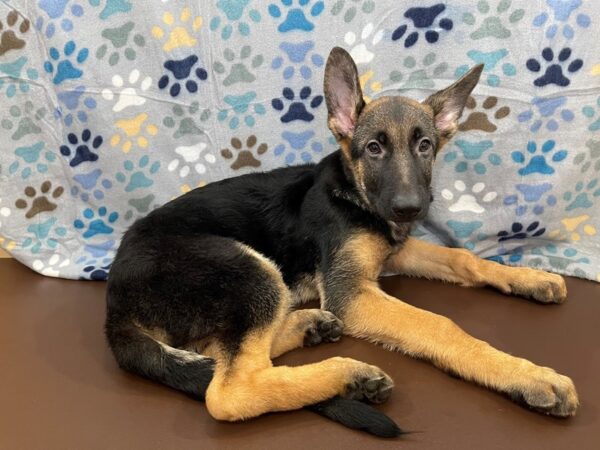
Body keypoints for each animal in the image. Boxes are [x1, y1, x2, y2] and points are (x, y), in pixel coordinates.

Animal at [105, 48, 580, 436]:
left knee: (217, 351)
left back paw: (308, 326)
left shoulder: (395, 251)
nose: (410, 208)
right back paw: (345, 374)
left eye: (425, 145)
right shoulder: (351, 291)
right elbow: (436, 324)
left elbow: (463, 258)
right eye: (373, 149)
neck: (354, 195)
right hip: (247, 268)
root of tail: (114, 304)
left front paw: (530, 277)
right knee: (230, 390)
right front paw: (529, 376)